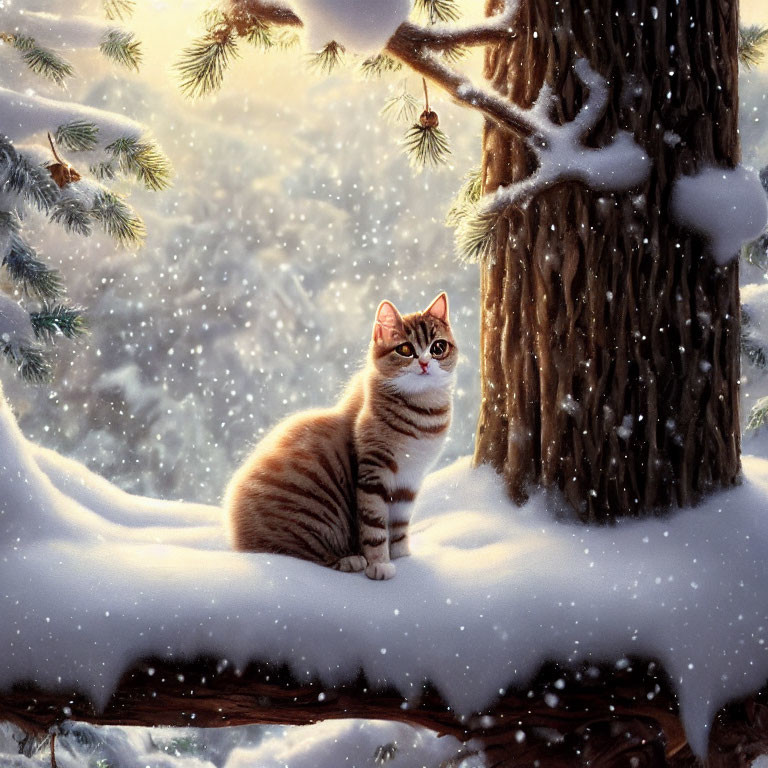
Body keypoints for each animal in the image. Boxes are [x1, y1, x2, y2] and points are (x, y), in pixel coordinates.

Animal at [225, 292, 460, 580]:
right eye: (405, 350)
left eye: (438, 348)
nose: (425, 363)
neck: (423, 410)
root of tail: (239, 539)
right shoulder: (373, 472)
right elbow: (374, 526)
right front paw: (379, 564)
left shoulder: (410, 480)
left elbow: (399, 525)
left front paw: (402, 555)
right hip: (310, 515)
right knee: (298, 551)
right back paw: (350, 560)